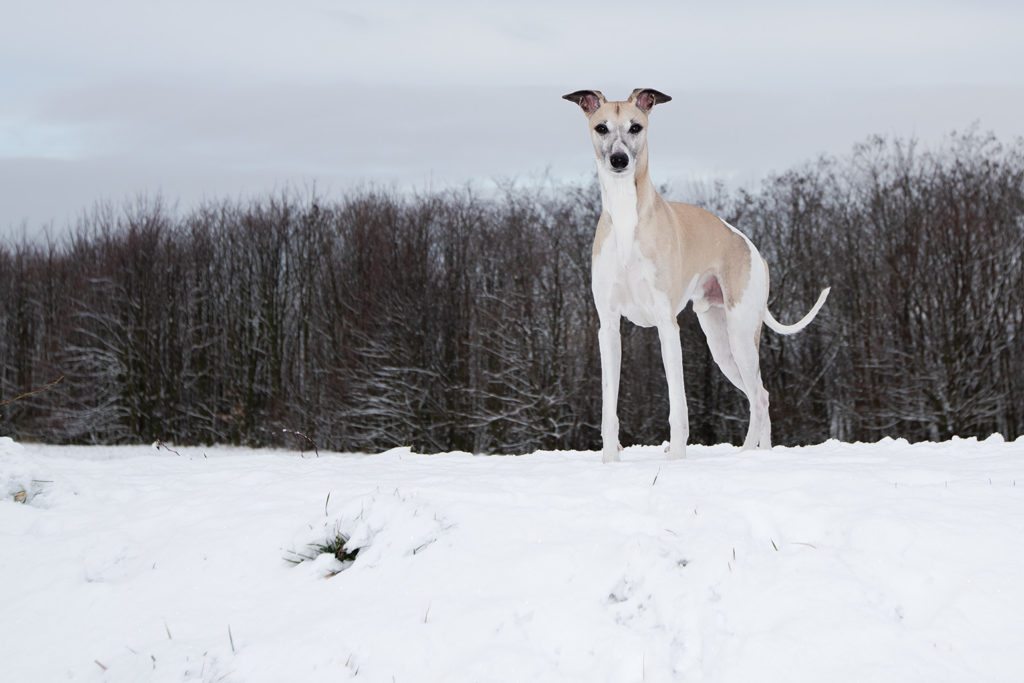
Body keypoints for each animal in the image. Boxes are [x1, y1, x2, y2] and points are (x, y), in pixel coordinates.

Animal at [565, 88, 827, 462]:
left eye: (635, 126)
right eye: (601, 127)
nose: (619, 160)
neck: (628, 216)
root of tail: (755, 251)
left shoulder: (667, 325)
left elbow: (678, 406)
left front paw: (675, 458)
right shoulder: (609, 328)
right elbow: (608, 408)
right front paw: (610, 461)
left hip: (740, 335)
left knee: (759, 397)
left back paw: (746, 454)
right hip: (720, 343)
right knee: (759, 393)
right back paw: (761, 453)